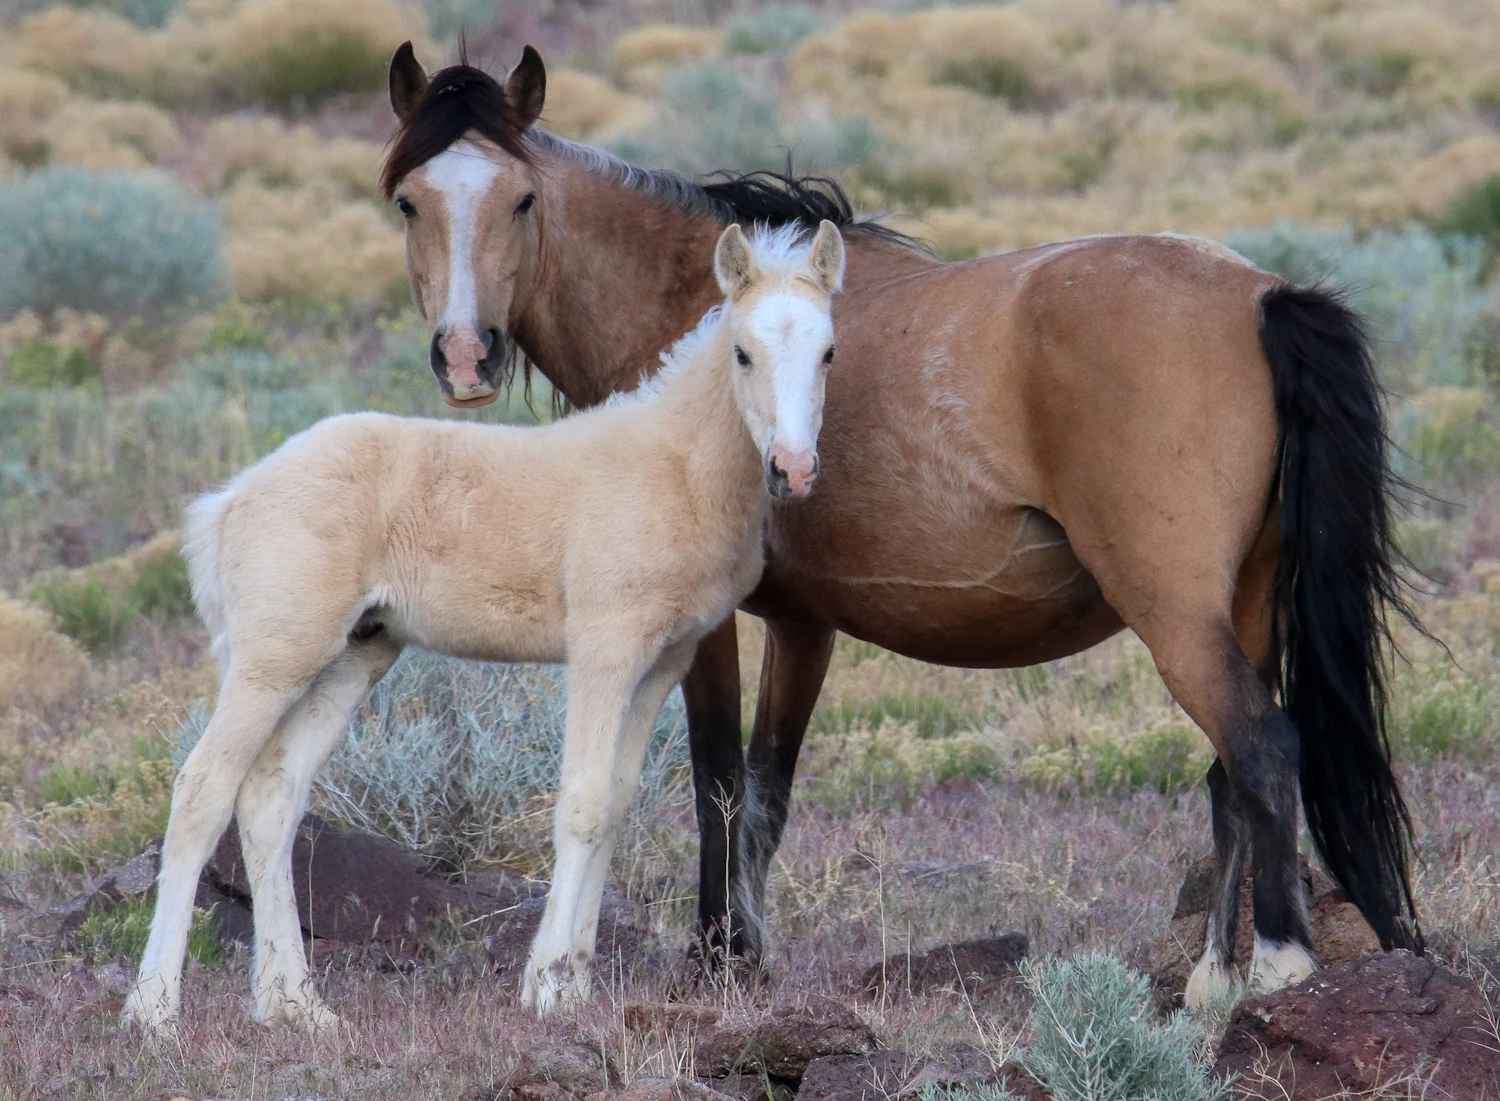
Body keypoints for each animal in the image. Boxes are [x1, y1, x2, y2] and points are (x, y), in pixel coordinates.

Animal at [121, 220, 847, 1029]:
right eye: (742, 351)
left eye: (828, 352)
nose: (792, 468)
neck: (677, 468)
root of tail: (233, 497)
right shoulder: (603, 648)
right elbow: (582, 806)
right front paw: (547, 985)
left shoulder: (663, 661)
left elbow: (615, 805)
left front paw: (577, 981)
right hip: (274, 654)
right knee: (203, 789)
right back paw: (153, 1010)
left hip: (354, 655)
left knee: (271, 795)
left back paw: (294, 1005)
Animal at [380, 44, 1422, 1010]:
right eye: (407, 203)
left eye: (521, 199)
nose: (466, 355)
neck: (693, 306)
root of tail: (1260, 296)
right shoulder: (803, 624)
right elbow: (767, 789)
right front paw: (749, 954)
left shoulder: (707, 625)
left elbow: (718, 779)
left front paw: (717, 956)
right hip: (1248, 604)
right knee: (1230, 776)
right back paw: (1212, 980)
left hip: (1178, 617)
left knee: (1262, 748)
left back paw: (1279, 966)